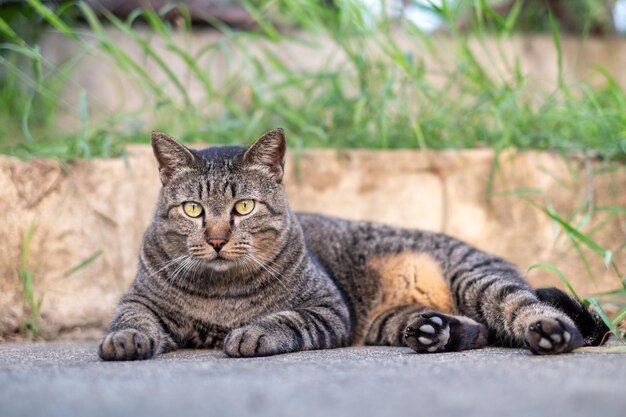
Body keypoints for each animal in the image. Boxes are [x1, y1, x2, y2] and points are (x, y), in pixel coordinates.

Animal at [97, 128, 604, 360]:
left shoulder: (326, 307)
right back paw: (435, 331)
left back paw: (550, 333)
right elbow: (131, 319)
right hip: (391, 321)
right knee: (478, 331)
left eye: (243, 207)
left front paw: (252, 332)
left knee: (526, 308)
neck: (222, 296)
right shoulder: (139, 299)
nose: (218, 239)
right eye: (193, 210)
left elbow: (283, 319)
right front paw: (124, 340)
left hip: (477, 279)